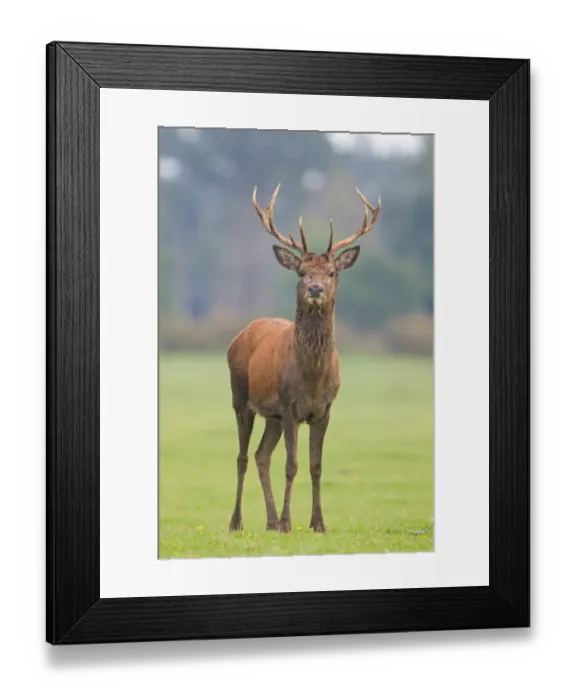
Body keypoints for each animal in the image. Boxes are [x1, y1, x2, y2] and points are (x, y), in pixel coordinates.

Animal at [227, 183, 381, 534]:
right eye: (301, 271)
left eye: (332, 272)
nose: (314, 289)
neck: (312, 377)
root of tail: (240, 334)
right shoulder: (289, 405)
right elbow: (292, 464)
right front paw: (288, 522)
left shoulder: (324, 409)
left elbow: (315, 465)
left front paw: (318, 523)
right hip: (241, 397)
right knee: (243, 457)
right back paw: (237, 521)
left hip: (271, 416)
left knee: (261, 455)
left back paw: (269, 522)